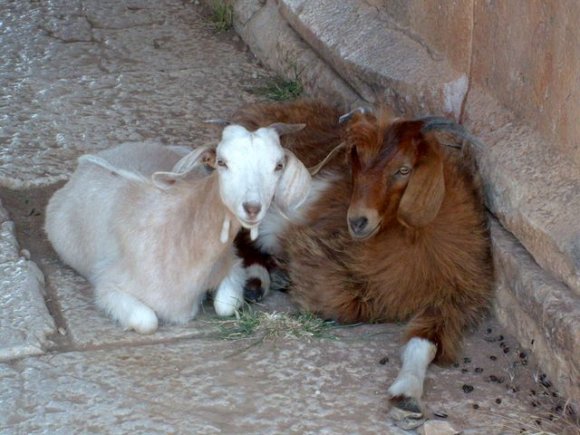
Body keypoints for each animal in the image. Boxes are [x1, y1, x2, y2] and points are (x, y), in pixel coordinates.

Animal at [45, 124, 308, 336]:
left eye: (278, 165)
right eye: (222, 162)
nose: (252, 207)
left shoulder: (231, 262)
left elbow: (225, 306)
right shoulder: (108, 284)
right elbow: (146, 321)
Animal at [233, 99, 492, 422]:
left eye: (403, 169)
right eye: (357, 162)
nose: (357, 221)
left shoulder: (454, 301)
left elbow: (425, 344)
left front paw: (407, 396)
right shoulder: (315, 254)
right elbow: (343, 304)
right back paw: (255, 280)